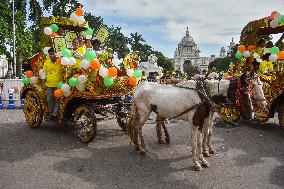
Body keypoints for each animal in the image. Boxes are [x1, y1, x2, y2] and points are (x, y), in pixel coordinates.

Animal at [128, 73, 266, 171]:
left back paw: (142, 143)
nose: (251, 114)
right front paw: (196, 162)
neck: (204, 95)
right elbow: (195, 142)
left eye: (251, 90)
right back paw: (142, 147)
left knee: (143, 123)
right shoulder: (195, 122)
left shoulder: (203, 120)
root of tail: (138, 87)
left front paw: (203, 158)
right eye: (244, 92)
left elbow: (203, 138)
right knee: (138, 125)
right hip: (144, 112)